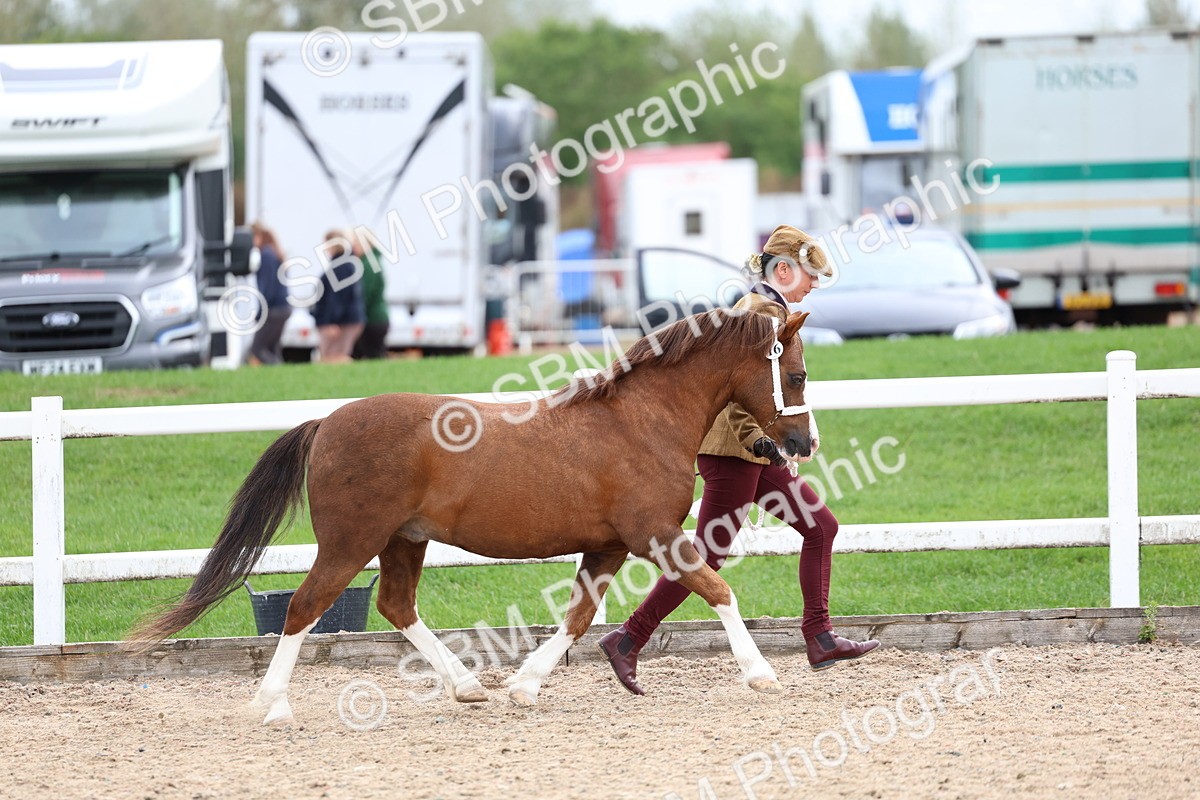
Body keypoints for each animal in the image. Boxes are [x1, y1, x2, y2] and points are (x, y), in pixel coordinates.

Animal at [130, 308, 816, 725]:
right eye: (798, 373)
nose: (802, 444)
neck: (640, 420)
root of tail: (326, 423)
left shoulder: (610, 546)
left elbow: (578, 618)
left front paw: (525, 686)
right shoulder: (655, 535)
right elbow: (717, 588)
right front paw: (761, 675)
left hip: (402, 541)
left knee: (395, 605)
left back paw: (466, 686)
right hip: (350, 543)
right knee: (304, 607)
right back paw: (271, 706)